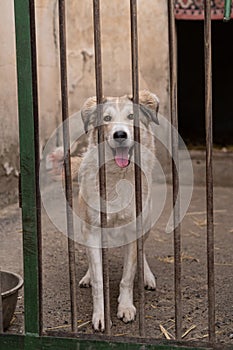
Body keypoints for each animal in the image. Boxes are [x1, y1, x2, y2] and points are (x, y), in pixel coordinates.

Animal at [75, 90, 160, 330]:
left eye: (131, 116)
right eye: (107, 119)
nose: (120, 134)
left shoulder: (133, 230)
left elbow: (127, 277)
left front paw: (125, 307)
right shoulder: (92, 231)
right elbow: (98, 280)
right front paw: (101, 315)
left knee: (142, 252)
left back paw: (147, 276)